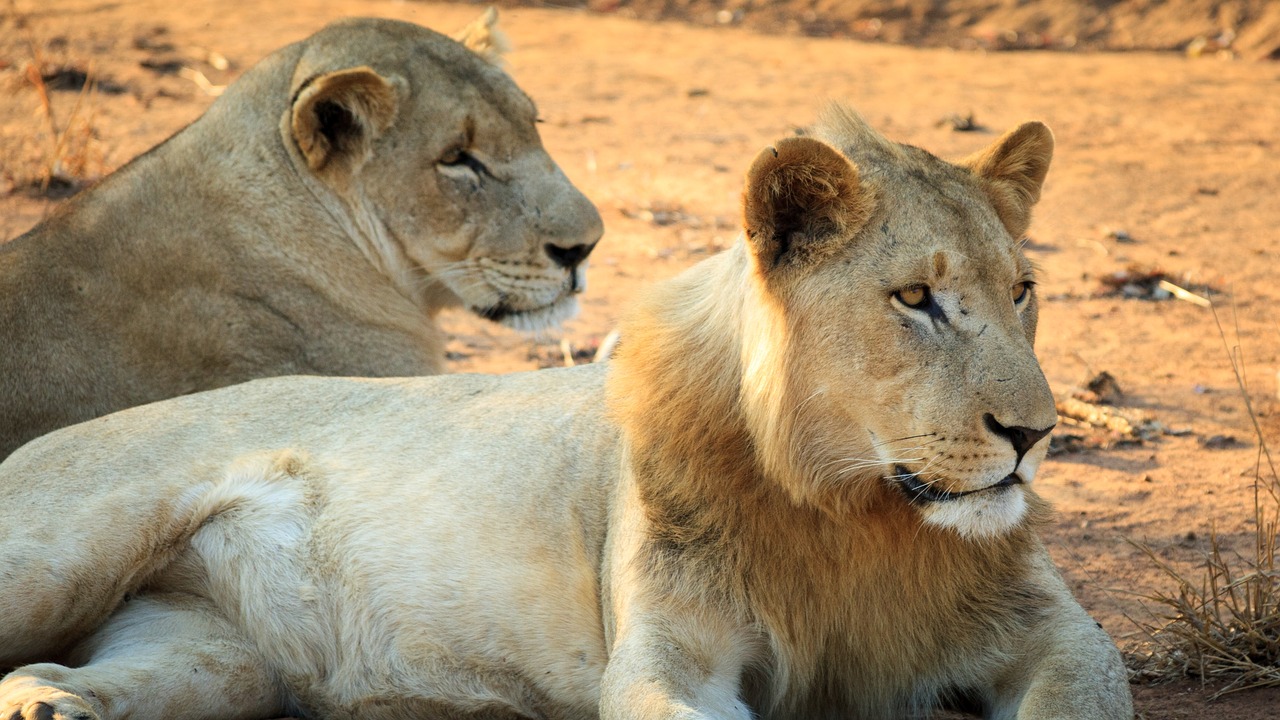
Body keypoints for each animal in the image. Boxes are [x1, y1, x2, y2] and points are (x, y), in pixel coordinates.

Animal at [0, 106, 1132, 719]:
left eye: (1021, 292)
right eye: (916, 299)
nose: (1035, 436)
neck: (851, 511)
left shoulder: (1058, 635)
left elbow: (1085, 685)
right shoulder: (665, 658)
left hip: (213, 656)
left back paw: (52, 701)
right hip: (60, 546)